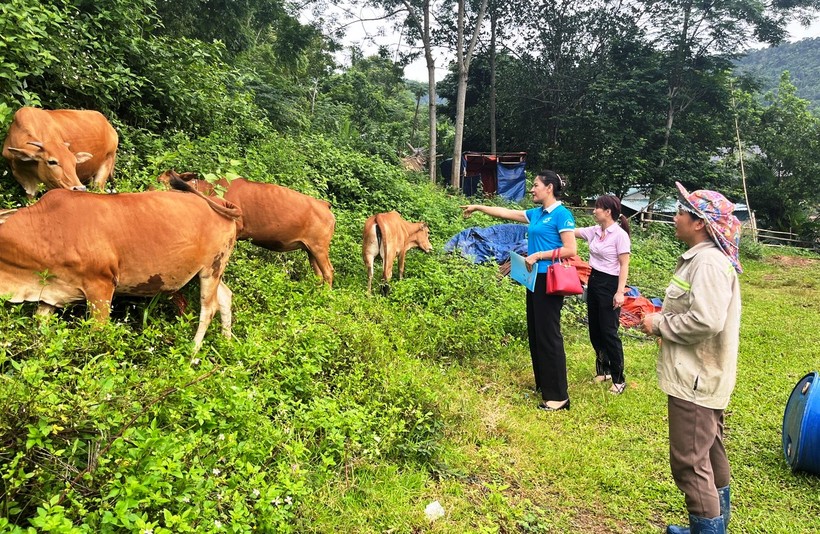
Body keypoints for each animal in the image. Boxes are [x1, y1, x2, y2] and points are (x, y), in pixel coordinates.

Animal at [0, 180, 242, 354]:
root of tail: (218, 201)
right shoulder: (50, 294)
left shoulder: (101, 286)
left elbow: (98, 334)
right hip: (214, 271)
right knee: (225, 296)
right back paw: (226, 343)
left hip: (212, 267)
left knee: (208, 308)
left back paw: (193, 353)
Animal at [159, 172, 334, 288]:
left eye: (160, 180)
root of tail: (324, 204)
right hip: (310, 249)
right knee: (319, 274)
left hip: (319, 247)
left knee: (328, 271)